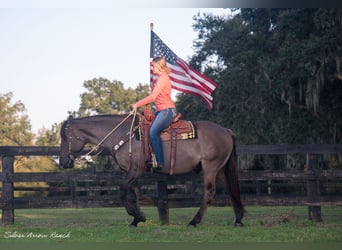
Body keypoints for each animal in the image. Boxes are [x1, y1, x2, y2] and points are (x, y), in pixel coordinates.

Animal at [59, 113, 246, 227]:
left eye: (65, 137)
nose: (63, 162)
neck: (124, 135)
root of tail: (226, 130)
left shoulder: (136, 170)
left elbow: (123, 191)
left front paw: (135, 215)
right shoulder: (131, 172)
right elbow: (134, 193)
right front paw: (137, 218)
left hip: (210, 168)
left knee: (209, 193)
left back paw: (194, 221)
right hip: (219, 170)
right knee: (230, 189)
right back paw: (238, 219)